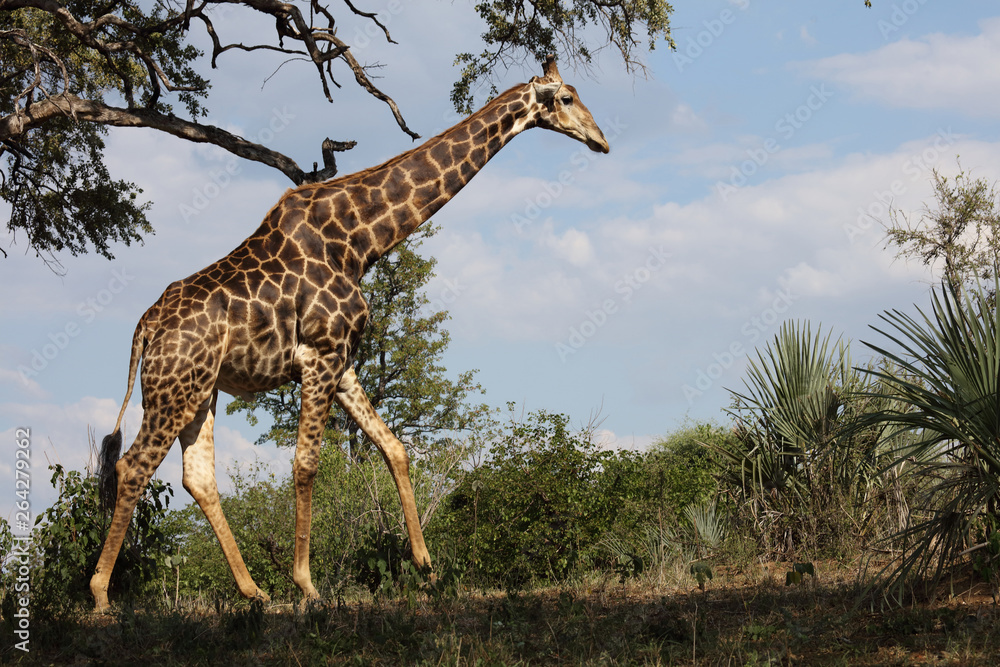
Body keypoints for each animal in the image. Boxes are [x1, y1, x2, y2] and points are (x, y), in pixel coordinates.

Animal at [89, 56, 609, 612]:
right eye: (567, 99)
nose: (601, 141)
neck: (360, 240)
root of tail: (146, 327)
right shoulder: (319, 355)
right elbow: (306, 464)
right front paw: (306, 584)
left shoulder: (343, 361)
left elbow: (393, 447)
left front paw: (425, 566)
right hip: (173, 390)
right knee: (134, 466)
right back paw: (101, 595)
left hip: (199, 391)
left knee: (198, 477)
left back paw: (253, 591)